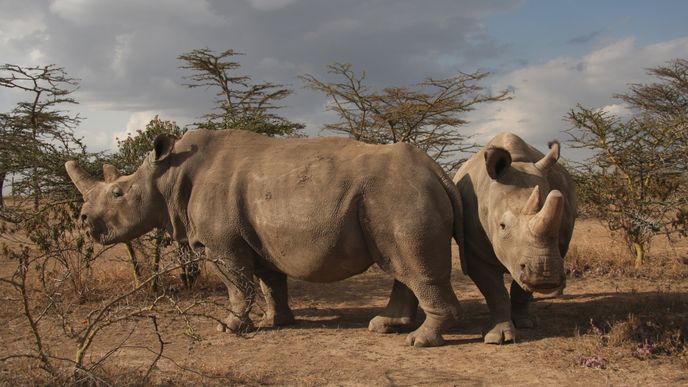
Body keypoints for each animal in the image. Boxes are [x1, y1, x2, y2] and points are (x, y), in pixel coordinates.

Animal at [66, 129, 462, 348]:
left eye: (118, 193)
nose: (83, 219)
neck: (168, 176)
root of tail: (438, 171)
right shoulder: (261, 239)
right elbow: (270, 281)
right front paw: (277, 321)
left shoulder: (220, 244)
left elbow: (236, 284)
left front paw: (229, 328)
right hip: (394, 196)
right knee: (401, 263)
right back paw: (385, 327)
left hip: (398, 195)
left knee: (412, 265)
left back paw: (419, 341)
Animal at [454, 134, 576, 346]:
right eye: (502, 226)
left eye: (560, 223)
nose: (545, 275)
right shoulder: (474, 251)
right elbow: (495, 291)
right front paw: (498, 338)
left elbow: (521, 290)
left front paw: (526, 324)